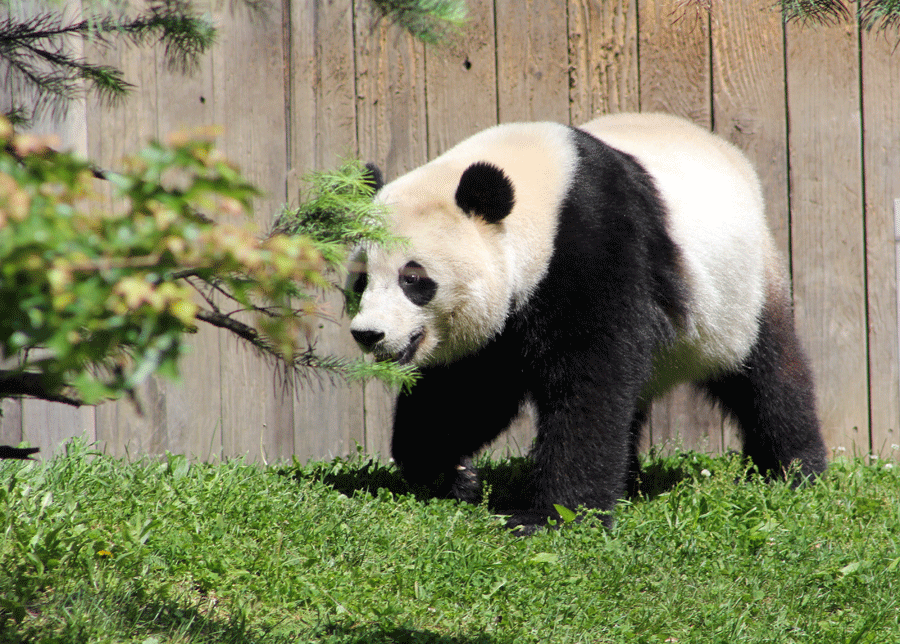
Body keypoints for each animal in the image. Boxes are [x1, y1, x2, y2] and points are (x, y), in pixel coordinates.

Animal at [348, 112, 827, 533]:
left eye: (413, 279)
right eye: (360, 279)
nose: (369, 334)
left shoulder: (594, 244)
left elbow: (590, 382)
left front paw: (550, 517)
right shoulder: (499, 323)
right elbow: (464, 390)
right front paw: (451, 474)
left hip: (739, 289)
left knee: (768, 373)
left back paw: (794, 470)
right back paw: (630, 480)